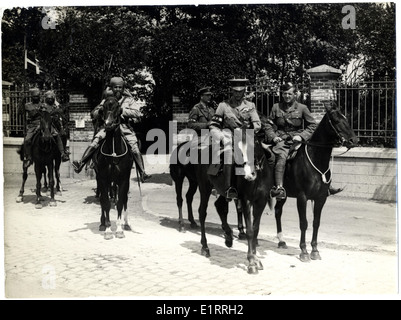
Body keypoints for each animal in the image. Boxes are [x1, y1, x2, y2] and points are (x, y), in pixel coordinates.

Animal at [93, 96, 133, 239]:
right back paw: (102, 223)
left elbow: (120, 202)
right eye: (103, 108)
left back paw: (126, 224)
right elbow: (105, 203)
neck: (114, 152)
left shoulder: (123, 180)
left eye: (118, 108)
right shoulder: (103, 179)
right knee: (102, 200)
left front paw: (120, 229)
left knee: (124, 200)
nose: (108, 124)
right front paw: (108, 230)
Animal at [195, 129, 276, 274]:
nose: (249, 175)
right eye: (238, 152)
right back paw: (205, 247)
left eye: (255, 143)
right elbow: (249, 231)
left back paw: (228, 237)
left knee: (219, 206)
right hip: (204, 188)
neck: (258, 177)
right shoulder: (246, 200)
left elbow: (255, 230)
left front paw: (256, 259)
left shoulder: (260, 202)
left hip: (223, 191)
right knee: (202, 213)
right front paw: (251, 262)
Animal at [274, 101, 358, 262]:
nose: (354, 140)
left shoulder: (321, 198)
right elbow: (304, 223)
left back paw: (281, 241)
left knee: (277, 211)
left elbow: (316, 223)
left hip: (283, 195)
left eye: (346, 118)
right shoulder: (302, 197)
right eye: (336, 120)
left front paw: (314, 250)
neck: (316, 159)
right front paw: (304, 251)